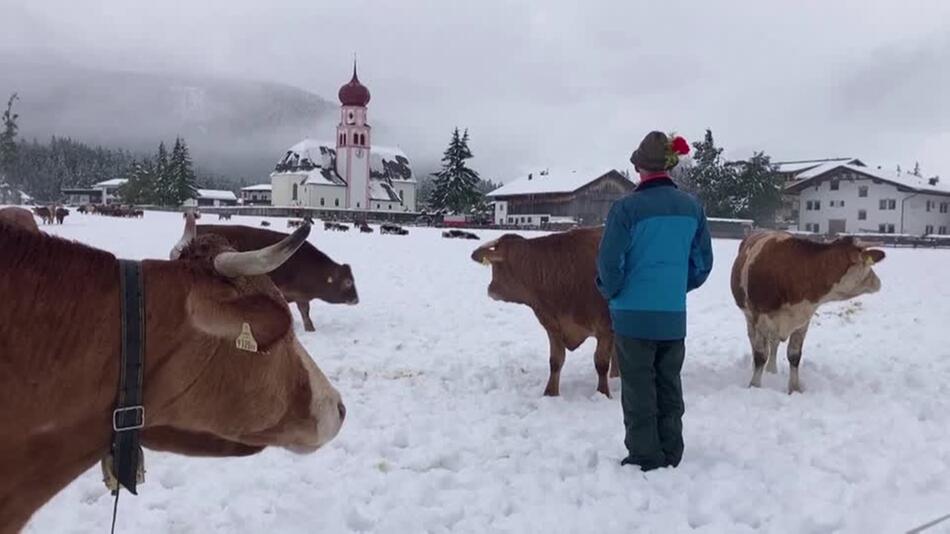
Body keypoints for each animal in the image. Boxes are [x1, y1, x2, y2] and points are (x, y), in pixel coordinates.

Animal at [472, 228, 620, 400]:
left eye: (496, 267)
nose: (490, 289)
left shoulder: (606, 327)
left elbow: (601, 363)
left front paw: (603, 393)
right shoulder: (553, 325)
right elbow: (555, 361)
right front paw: (550, 393)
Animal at [732, 232, 888, 396]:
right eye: (868, 265)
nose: (878, 282)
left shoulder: (802, 320)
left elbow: (794, 356)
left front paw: (794, 389)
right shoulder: (760, 318)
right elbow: (760, 355)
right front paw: (754, 386)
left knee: (773, 343)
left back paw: (772, 370)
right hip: (750, 317)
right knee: (754, 341)